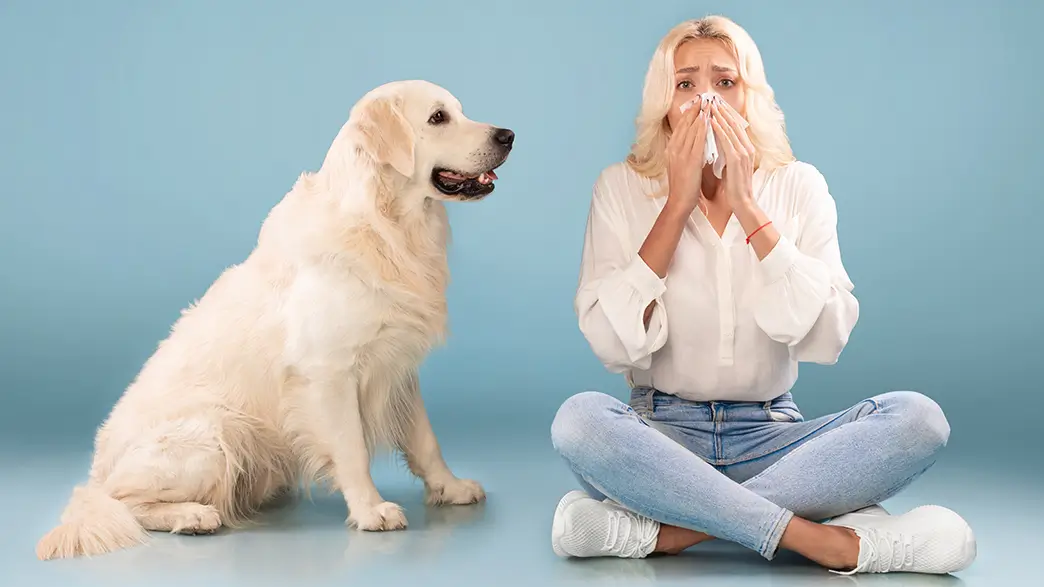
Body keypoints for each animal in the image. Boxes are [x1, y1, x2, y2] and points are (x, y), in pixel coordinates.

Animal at [34, 78, 515, 555]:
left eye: (460, 110)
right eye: (438, 118)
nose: (508, 135)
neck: (386, 227)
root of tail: (96, 474)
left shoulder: (398, 365)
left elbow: (425, 440)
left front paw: (450, 488)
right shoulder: (329, 373)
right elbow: (353, 449)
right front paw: (371, 511)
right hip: (215, 433)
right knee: (124, 503)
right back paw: (193, 516)